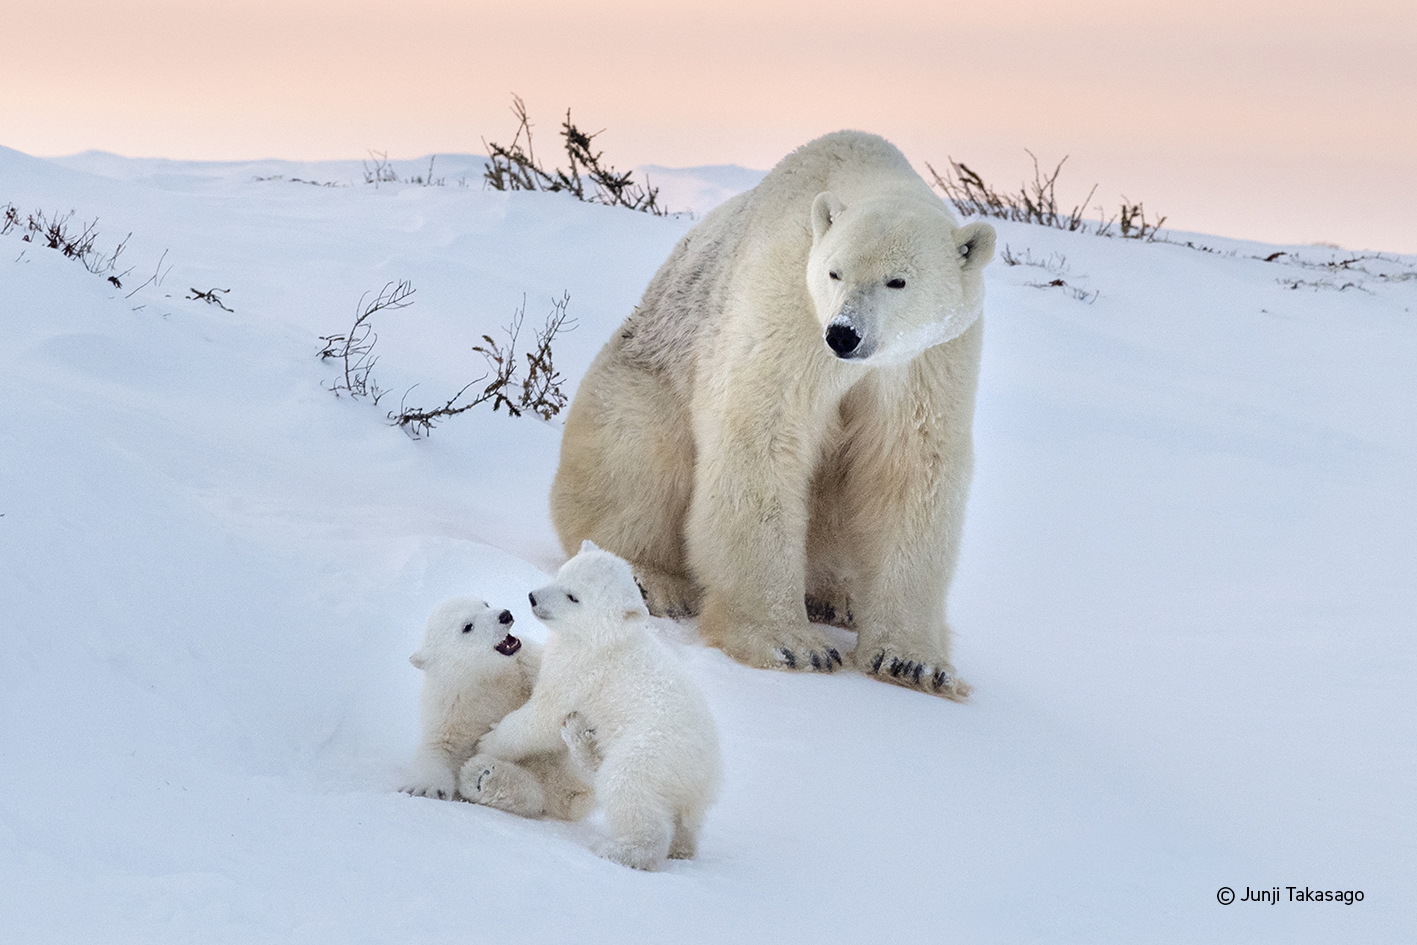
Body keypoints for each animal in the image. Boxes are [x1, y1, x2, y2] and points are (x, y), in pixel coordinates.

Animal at [402, 597, 595, 821]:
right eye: (467, 626)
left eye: (485, 604)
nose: (504, 615)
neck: (486, 678)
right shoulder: (449, 709)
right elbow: (437, 748)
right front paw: (425, 789)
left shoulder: (527, 663)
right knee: (532, 793)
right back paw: (483, 777)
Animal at [476, 544, 719, 878]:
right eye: (561, 574)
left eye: (573, 597)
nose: (533, 597)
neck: (605, 642)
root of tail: (705, 775)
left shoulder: (581, 674)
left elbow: (541, 719)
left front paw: (487, 740)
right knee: (682, 825)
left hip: (650, 753)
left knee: (626, 790)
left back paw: (620, 850)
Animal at [546, 129, 991, 699]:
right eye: (834, 271)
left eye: (899, 281)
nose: (844, 334)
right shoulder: (787, 308)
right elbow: (764, 437)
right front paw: (792, 645)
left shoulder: (930, 360)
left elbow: (910, 468)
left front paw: (913, 662)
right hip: (643, 378)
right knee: (639, 461)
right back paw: (652, 580)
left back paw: (836, 598)